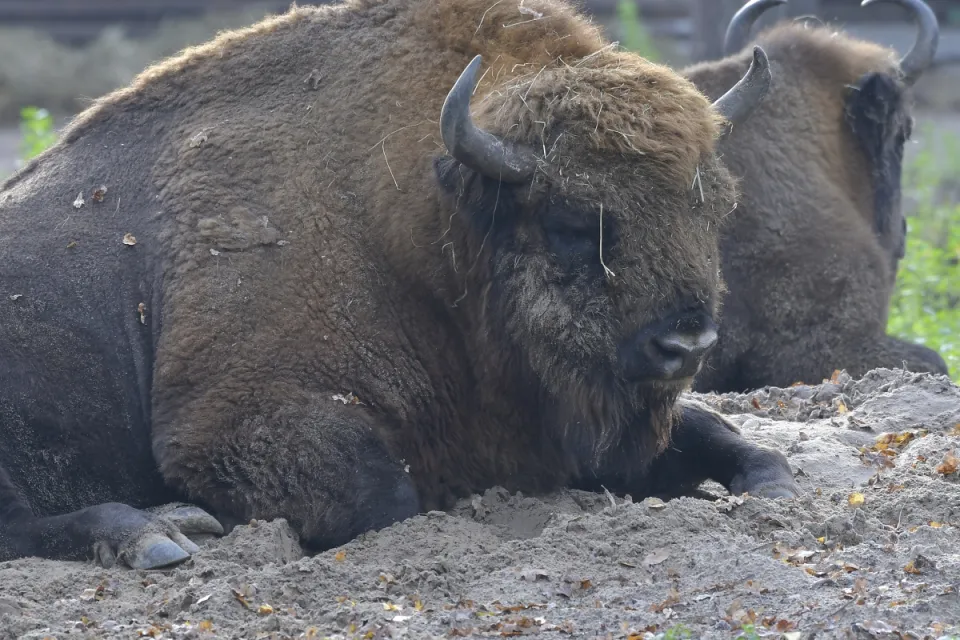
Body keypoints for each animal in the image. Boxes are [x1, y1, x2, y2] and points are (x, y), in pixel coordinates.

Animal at [0, 0, 796, 570]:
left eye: (713, 206)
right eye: (574, 220)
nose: (686, 343)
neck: (426, 228)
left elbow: (738, 443)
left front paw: (769, 487)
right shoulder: (227, 422)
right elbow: (384, 499)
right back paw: (159, 533)